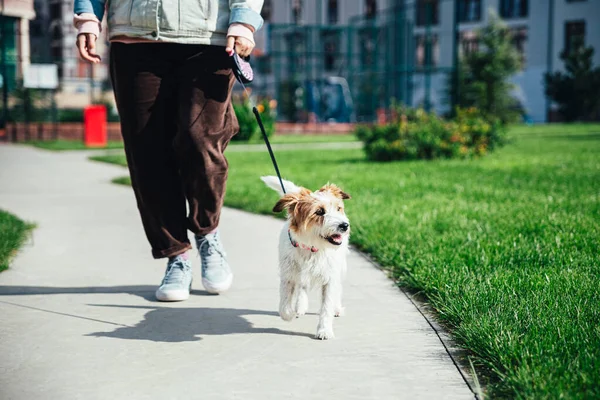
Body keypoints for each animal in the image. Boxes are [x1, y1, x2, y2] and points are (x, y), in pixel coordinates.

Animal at [262, 177, 352, 340]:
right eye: (319, 212)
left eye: (338, 208)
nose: (344, 226)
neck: (312, 247)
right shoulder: (288, 275)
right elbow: (284, 306)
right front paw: (290, 314)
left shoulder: (330, 278)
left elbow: (327, 306)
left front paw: (324, 330)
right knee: (302, 286)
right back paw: (300, 306)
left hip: (340, 267)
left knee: (338, 288)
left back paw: (336, 308)